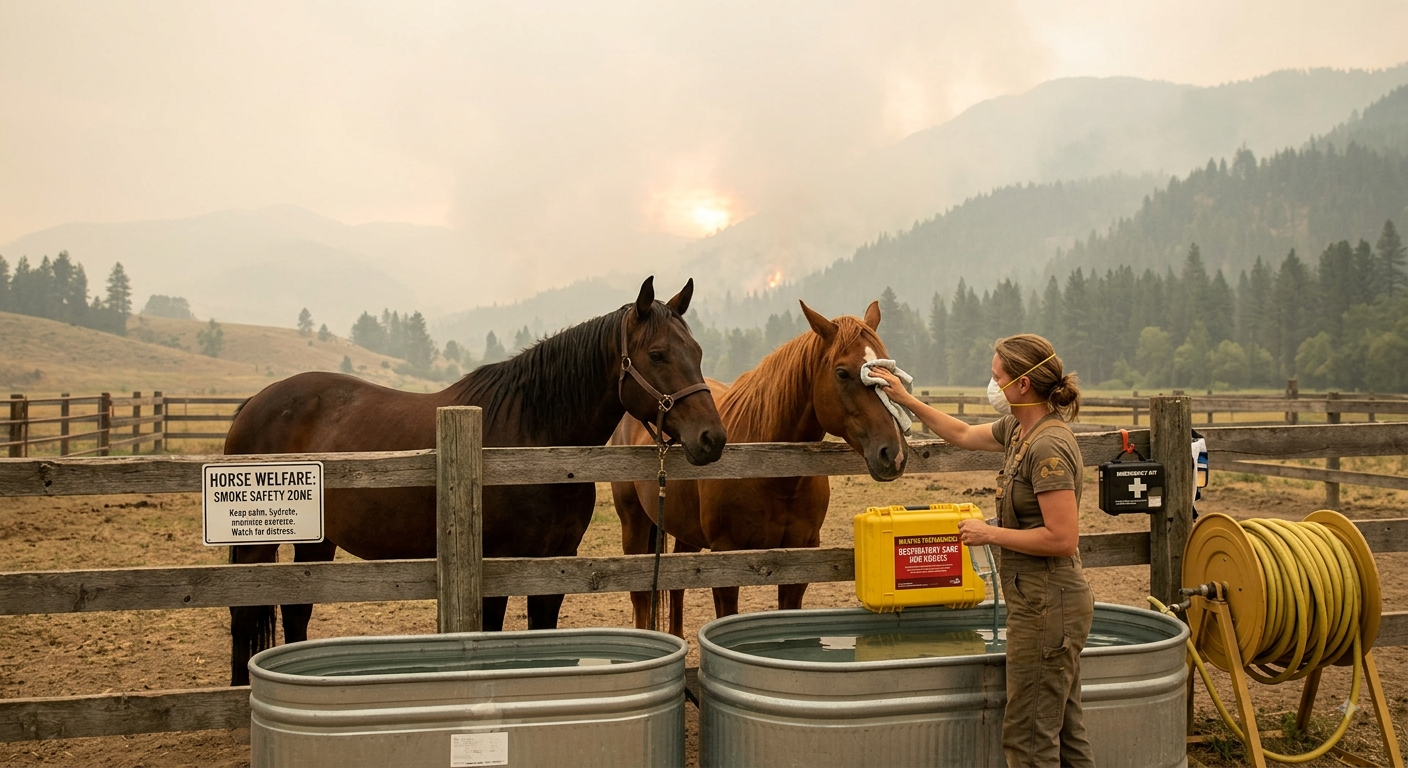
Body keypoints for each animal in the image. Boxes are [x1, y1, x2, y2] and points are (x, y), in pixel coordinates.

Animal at [222, 277, 725, 685]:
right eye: (657, 355)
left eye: (699, 353)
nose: (712, 438)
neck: (536, 441)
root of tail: (254, 403)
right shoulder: (496, 565)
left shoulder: (556, 562)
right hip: (256, 543)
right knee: (243, 613)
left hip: (316, 543)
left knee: (295, 611)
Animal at [611, 300, 907, 636]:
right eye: (842, 372)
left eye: (889, 371)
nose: (893, 453)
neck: (771, 472)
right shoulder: (727, 558)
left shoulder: (800, 558)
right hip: (633, 523)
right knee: (639, 596)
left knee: (677, 585)